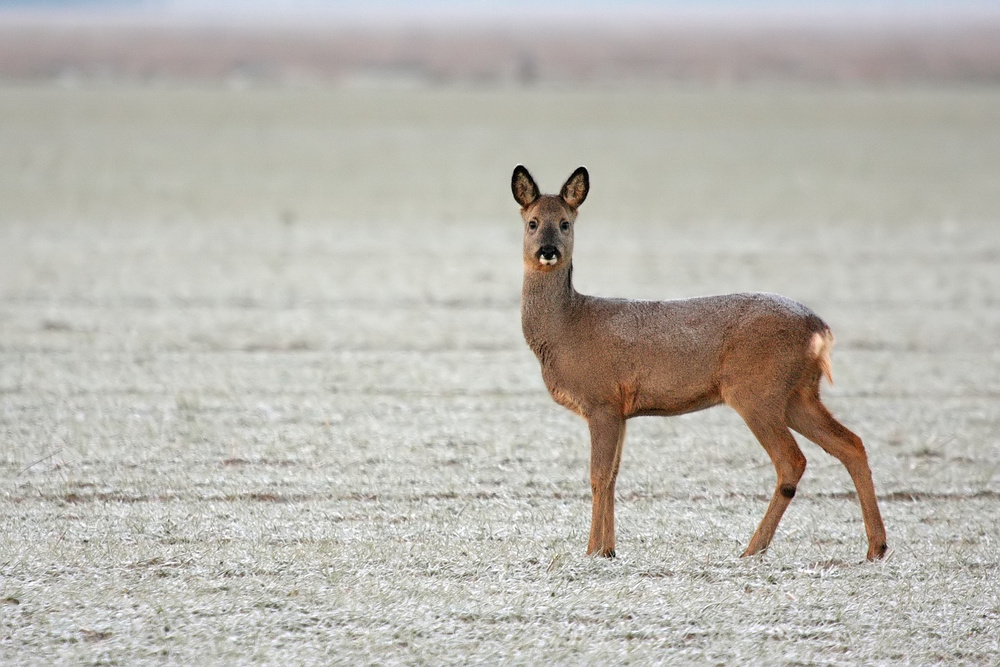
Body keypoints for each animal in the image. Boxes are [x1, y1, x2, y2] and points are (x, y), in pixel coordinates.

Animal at [512, 164, 888, 560]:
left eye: (565, 223)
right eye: (533, 222)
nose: (548, 251)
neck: (567, 328)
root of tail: (820, 330)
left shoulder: (601, 400)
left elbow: (597, 476)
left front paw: (593, 552)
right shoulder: (620, 408)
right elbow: (613, 475)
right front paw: (609, 550)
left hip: (755, 390)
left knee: (792, 461)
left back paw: (752, 549)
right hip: (798, 394)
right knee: (851, 444)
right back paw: (876, 547)